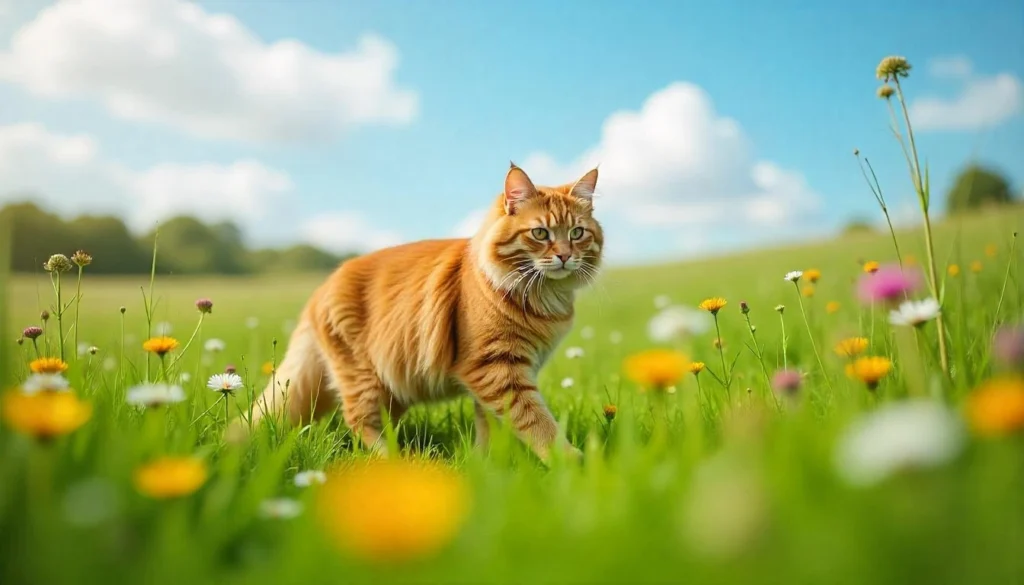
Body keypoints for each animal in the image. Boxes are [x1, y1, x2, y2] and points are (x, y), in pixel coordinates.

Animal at [241, 163, 598, 463]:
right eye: (540, 234)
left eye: (577, 233)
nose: (565, 256)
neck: (545, 297)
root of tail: (320, 289)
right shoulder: (496, 369)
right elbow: (538, 422)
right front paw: (571, 462)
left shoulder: (497, 375)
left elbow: (491, 428)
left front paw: (487, 467)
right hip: (363, 376)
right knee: (357, 422)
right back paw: (397, 459)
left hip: (391, 387)